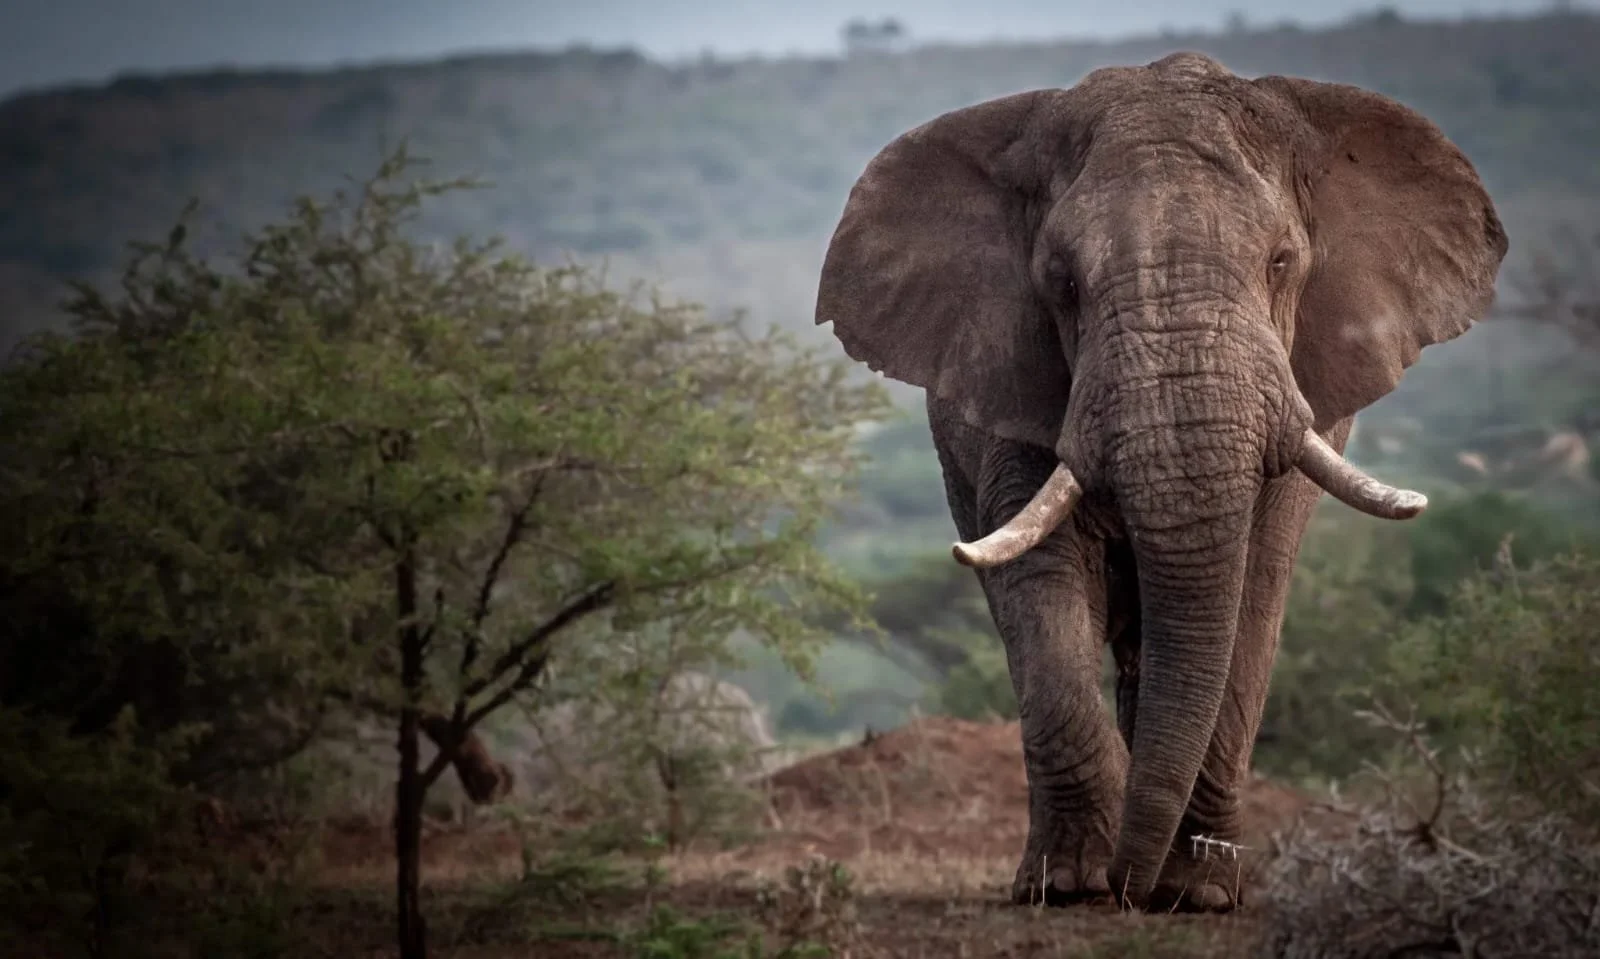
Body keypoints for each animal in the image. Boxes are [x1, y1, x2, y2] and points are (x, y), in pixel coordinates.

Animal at [814, 52, 1506, 912]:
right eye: (1062, 283)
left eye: (1281, 262)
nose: (1128, 885)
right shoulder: (1014, 380)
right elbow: (1042, 583)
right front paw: (1071, 884)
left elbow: (1254, 588)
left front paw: (1198, 894)